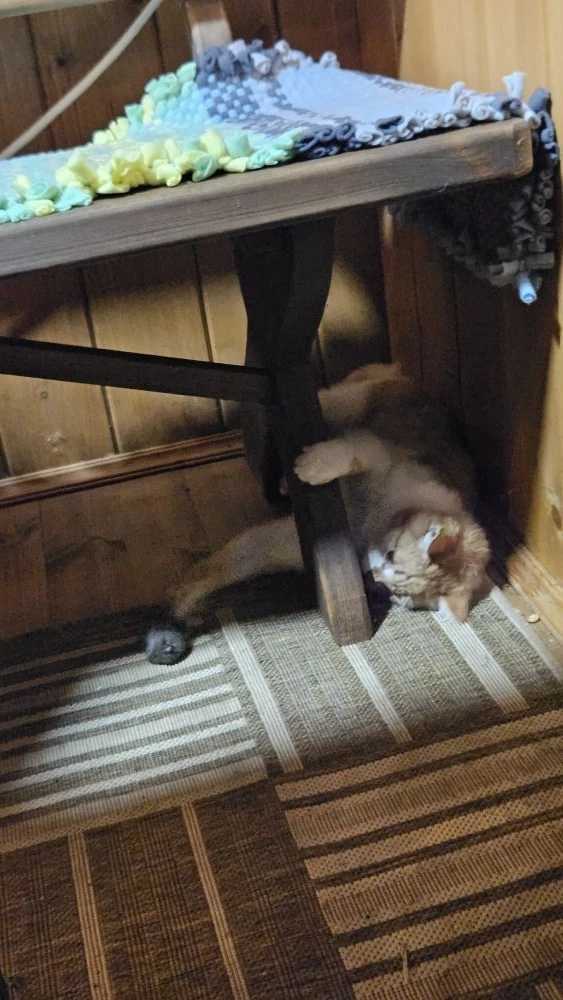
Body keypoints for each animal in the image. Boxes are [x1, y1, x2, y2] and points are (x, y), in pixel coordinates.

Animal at [146, 363, 490, 664]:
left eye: (395, 593)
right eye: (391, 554)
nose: (370, 576)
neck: (373, 520)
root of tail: (400, 374)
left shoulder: (291, 542)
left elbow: (216, 568)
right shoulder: (377, 452)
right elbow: (350, 453)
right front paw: (313, 466)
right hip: (348, 401)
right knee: (324, 403)